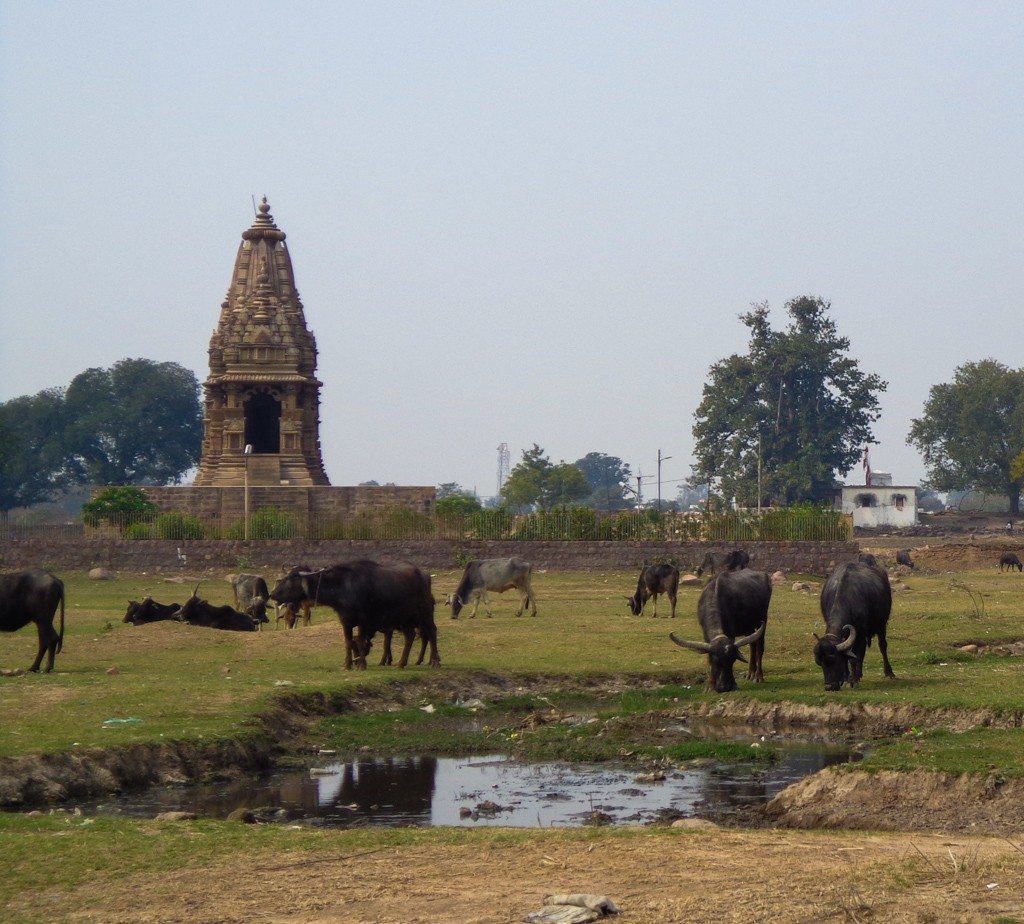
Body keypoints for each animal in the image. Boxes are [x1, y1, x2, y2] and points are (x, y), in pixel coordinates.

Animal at [268, 557, 440, 672]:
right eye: (284, 578)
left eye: (291, 579)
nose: (272, 594)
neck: (343, 587)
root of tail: (424, 576)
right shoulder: (346, 621)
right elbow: (348, 642)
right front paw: (347, 665)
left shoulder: (364, 620)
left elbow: (362, 641)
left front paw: (361, 665)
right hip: (405, 619)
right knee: (410, 636)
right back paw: (401, 663)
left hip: (425, 614)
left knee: (431, 632)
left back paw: (434, 662)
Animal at [815, 561, 897, 692]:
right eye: (819, 662)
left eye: (834, 659)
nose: (829, 687)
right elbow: (849, 656)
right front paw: (847, 678)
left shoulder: (860, 632)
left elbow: (854, 658)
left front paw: (853, 681)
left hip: (881, 625)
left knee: (882, 647)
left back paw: (888, 673)